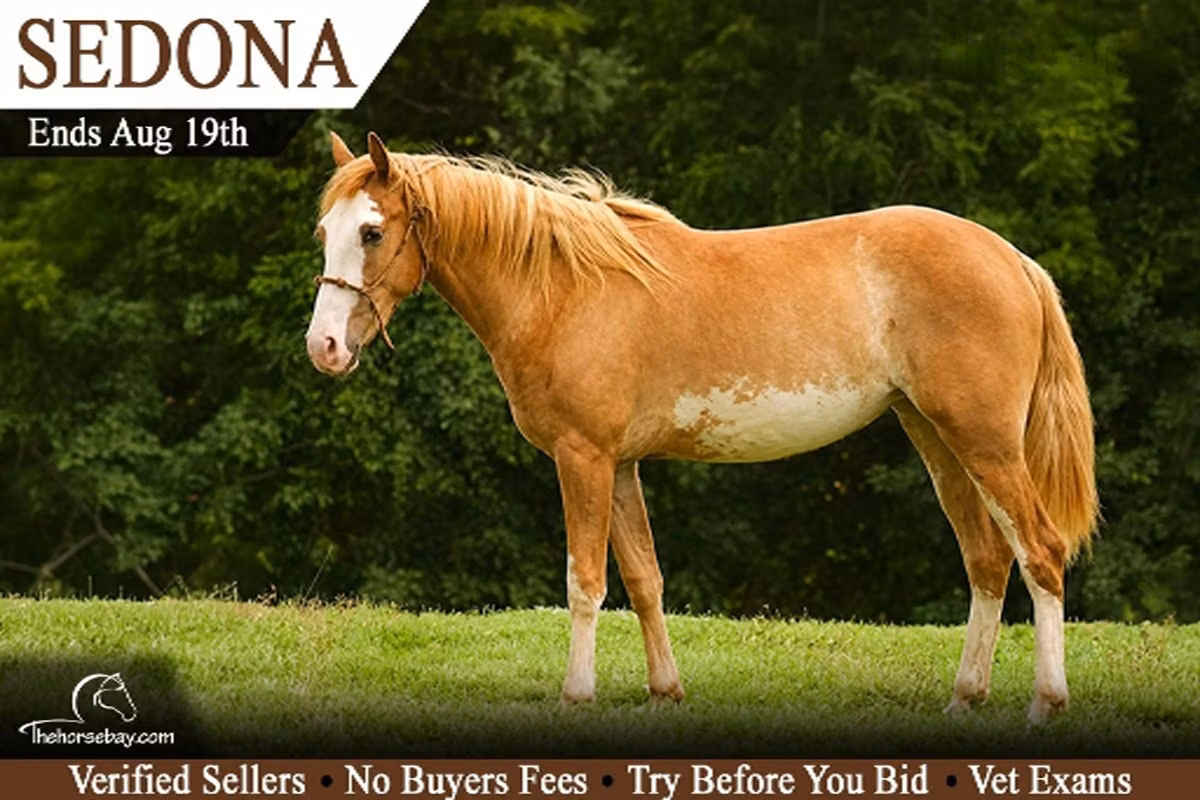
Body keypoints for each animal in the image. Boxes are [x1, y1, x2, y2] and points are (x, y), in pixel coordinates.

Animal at [305, 132, 1098, 724]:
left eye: (372, 231)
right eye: (324, 232)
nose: (325, 347)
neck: (563, 289)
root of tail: (1012, 260)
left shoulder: (583, 459)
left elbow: (585, 581)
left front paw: (577, 695)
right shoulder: (621, 464)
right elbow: (644, 579)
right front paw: (666, 692)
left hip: (984, 443)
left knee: (1040, 553)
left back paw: (1046, 704)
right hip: (935, 437)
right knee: (988, 561)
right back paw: (965, 699)